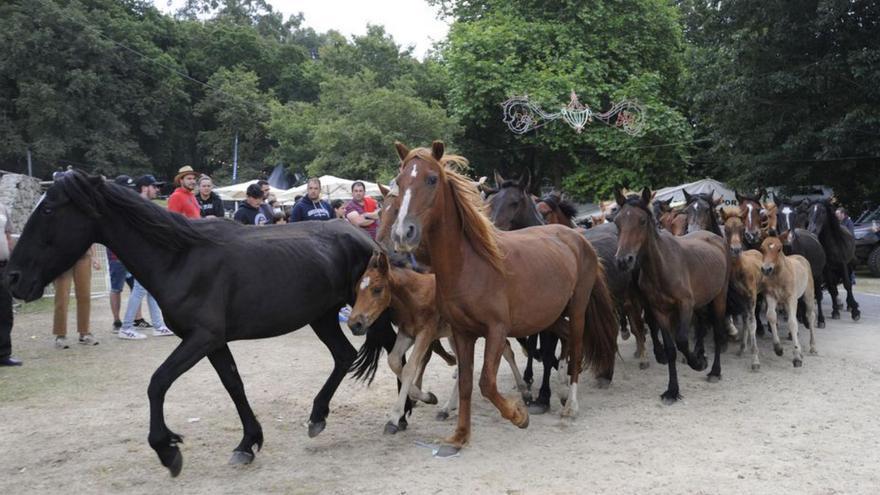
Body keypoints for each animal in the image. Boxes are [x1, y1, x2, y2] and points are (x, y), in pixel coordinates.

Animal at [5, 170, 398, 476]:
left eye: (49, 209)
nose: (13, 278)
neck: (181, 257)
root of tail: (367, 241)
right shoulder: (213, 342)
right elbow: (233, 384)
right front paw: (247, 443)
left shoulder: (201, 338)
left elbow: (158, 382)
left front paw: (167, 450)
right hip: (322, 317)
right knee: (346, 355)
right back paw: (320, 416)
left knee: (397, 350)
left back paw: (402, 414)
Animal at [388, 140, 616, 458]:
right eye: (399, 181)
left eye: (431, 179)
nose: (402, 233)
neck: (471, 265)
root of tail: (578, 237)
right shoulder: (462, 332)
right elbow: (466, 382)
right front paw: (459, 436)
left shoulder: (496, 330)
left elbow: (486, 382)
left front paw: (519, 415)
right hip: (550, 315)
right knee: (566, 341)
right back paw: (558, 392)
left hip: (578, 308)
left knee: (577, 345)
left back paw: (570, 405)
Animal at [612, 187, 728, 404]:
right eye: (617, 221)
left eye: (642, 220)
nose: (624, 260)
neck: (661, 267)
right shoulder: (660, 311)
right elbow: (671, 348)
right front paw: (672, 390)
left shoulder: (685, 305)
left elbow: (682, 340)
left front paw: (698, 362)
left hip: (719, 297)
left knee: (717, 331)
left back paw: (715, 371)